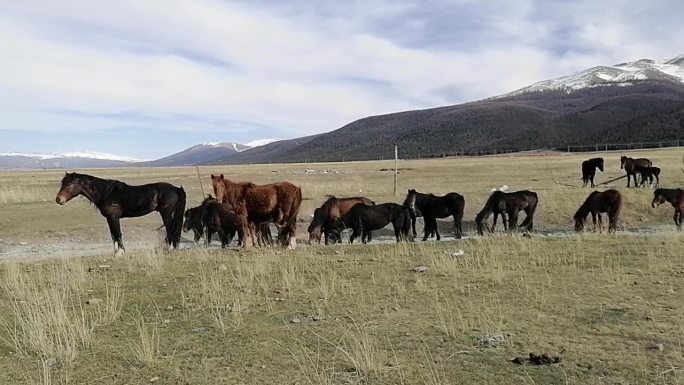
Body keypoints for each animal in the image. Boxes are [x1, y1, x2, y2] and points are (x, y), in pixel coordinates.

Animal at [55, 172, 186, 255]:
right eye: (62, 183)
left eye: (68, 184)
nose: (58, 199)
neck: (106, 193)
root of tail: (175, 189)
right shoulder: (109, 219)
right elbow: (113, 235)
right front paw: (116, 252)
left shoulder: (114, 218)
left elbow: (118, 234)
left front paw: (120, 252)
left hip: (166, 214)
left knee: (171, 229)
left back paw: (169, 248)